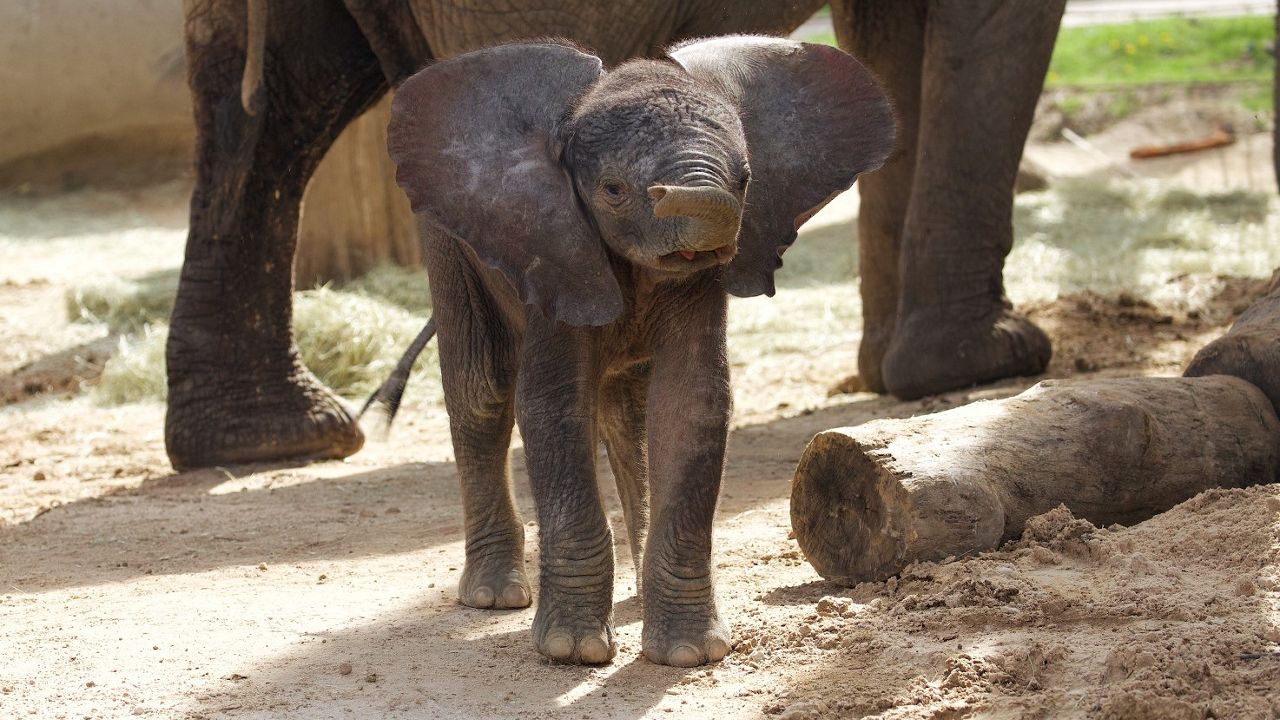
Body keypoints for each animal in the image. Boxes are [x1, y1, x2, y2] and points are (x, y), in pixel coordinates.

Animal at [384, 33, 896, 661]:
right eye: (613, 190)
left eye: (746, 179)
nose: (688, 202)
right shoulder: (555, 247)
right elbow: (551, 406)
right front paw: (572, 651)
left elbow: (691, 405)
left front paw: (686, 653)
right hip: (449, 242)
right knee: (482, 392)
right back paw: (494, 596)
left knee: (625, 412)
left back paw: (630, 590)